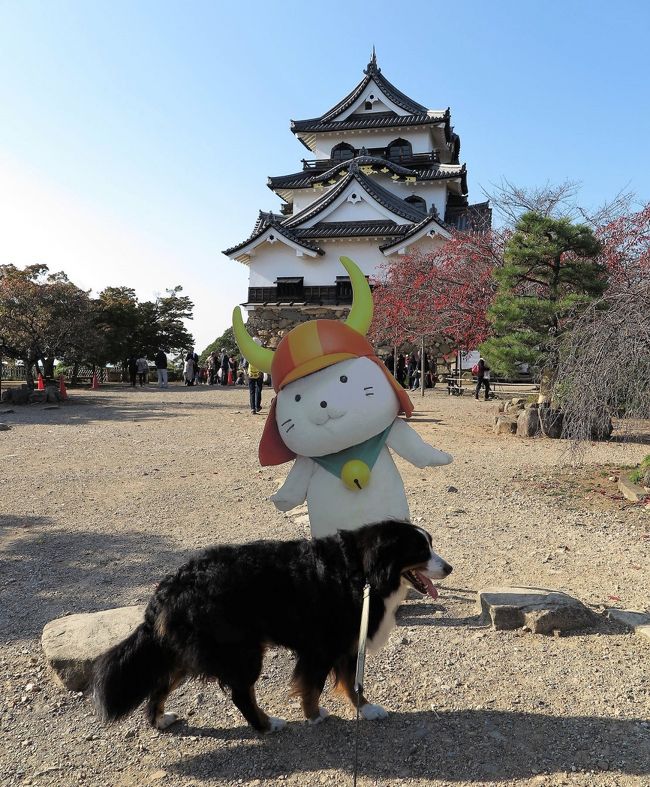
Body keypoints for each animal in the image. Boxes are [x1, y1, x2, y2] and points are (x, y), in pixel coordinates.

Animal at [92, 524, 450, 732]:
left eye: (431, 545)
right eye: (421, 550)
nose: (449, 567)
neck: (362, 570)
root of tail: (168, 588)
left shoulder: (347, 644)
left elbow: (351, 682)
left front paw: (366, 709)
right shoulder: (325, 646)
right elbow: (317, 686)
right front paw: (315, 715)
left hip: (188, 653)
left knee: (160, 685)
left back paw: (159, 719)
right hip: (242, 651)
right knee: (241, 694)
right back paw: (266, 724)